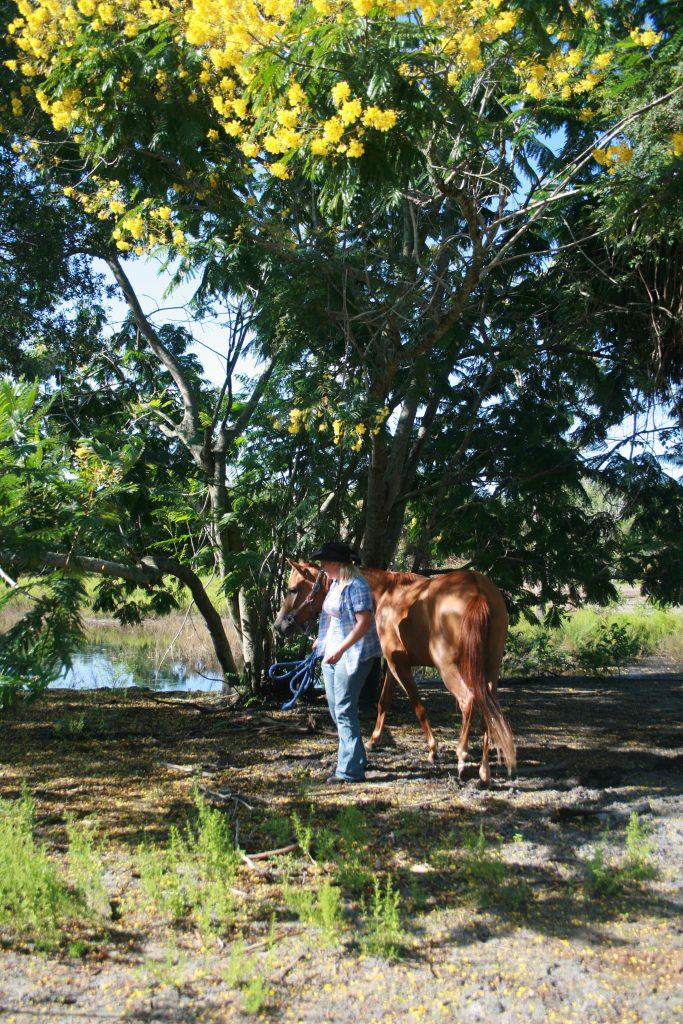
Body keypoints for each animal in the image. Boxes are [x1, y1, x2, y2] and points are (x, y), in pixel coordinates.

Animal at [274, 561, 516, 782]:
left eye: (293, 589)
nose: (279, 626)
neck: (385, 595)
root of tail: (477, 589)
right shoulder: (393, 665)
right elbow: (384, 701)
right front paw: (373, 740)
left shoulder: (398, 665)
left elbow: (417, 705)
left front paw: (433, 749)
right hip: (488, 670)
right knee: (488, 709)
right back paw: (484, 771)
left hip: (451, 669)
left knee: (468, 701)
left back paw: (462, 758)